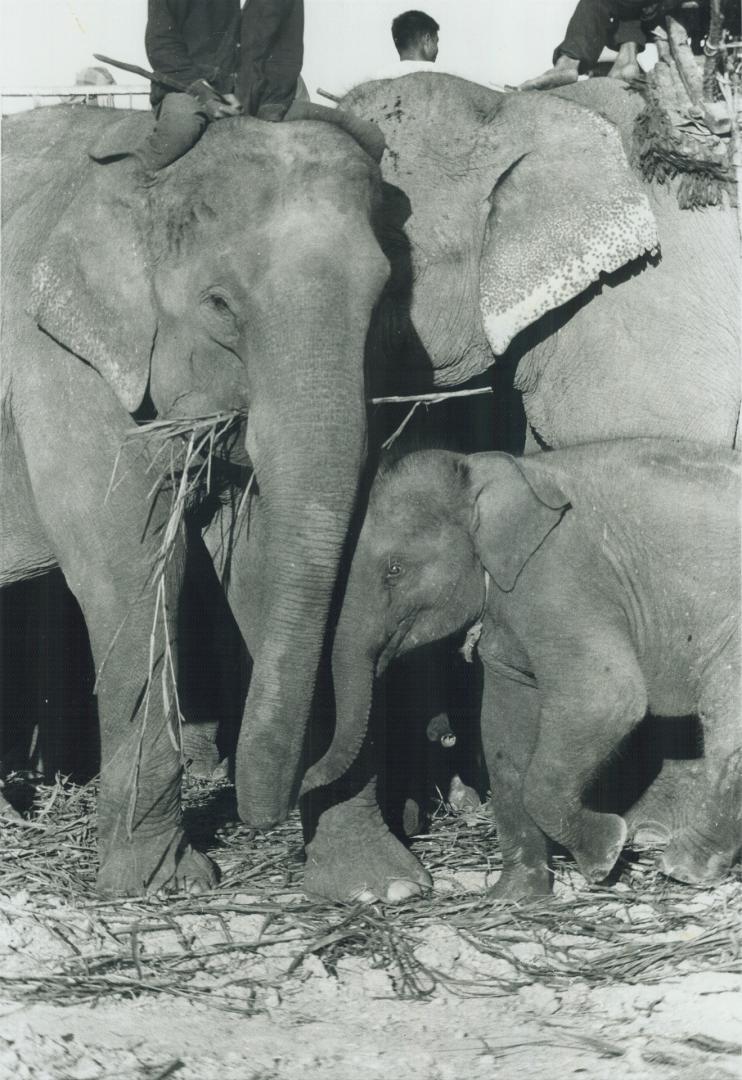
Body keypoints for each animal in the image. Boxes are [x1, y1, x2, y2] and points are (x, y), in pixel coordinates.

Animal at [1, 103, 388, 894]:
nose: (261, 814)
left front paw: (375, 883)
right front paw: (163, 884)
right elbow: (135, 570)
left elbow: (264, 563)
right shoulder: (60, 364)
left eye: (384, 301)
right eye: (219, 306)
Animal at [302, 442, 742, 898]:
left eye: (394, 569)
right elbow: (504, 731)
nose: (304, 782)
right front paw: (514, 896)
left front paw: (607, 854)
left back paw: (684, 868)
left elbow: (607, 699)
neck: (495, 471)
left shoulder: (560, 578)